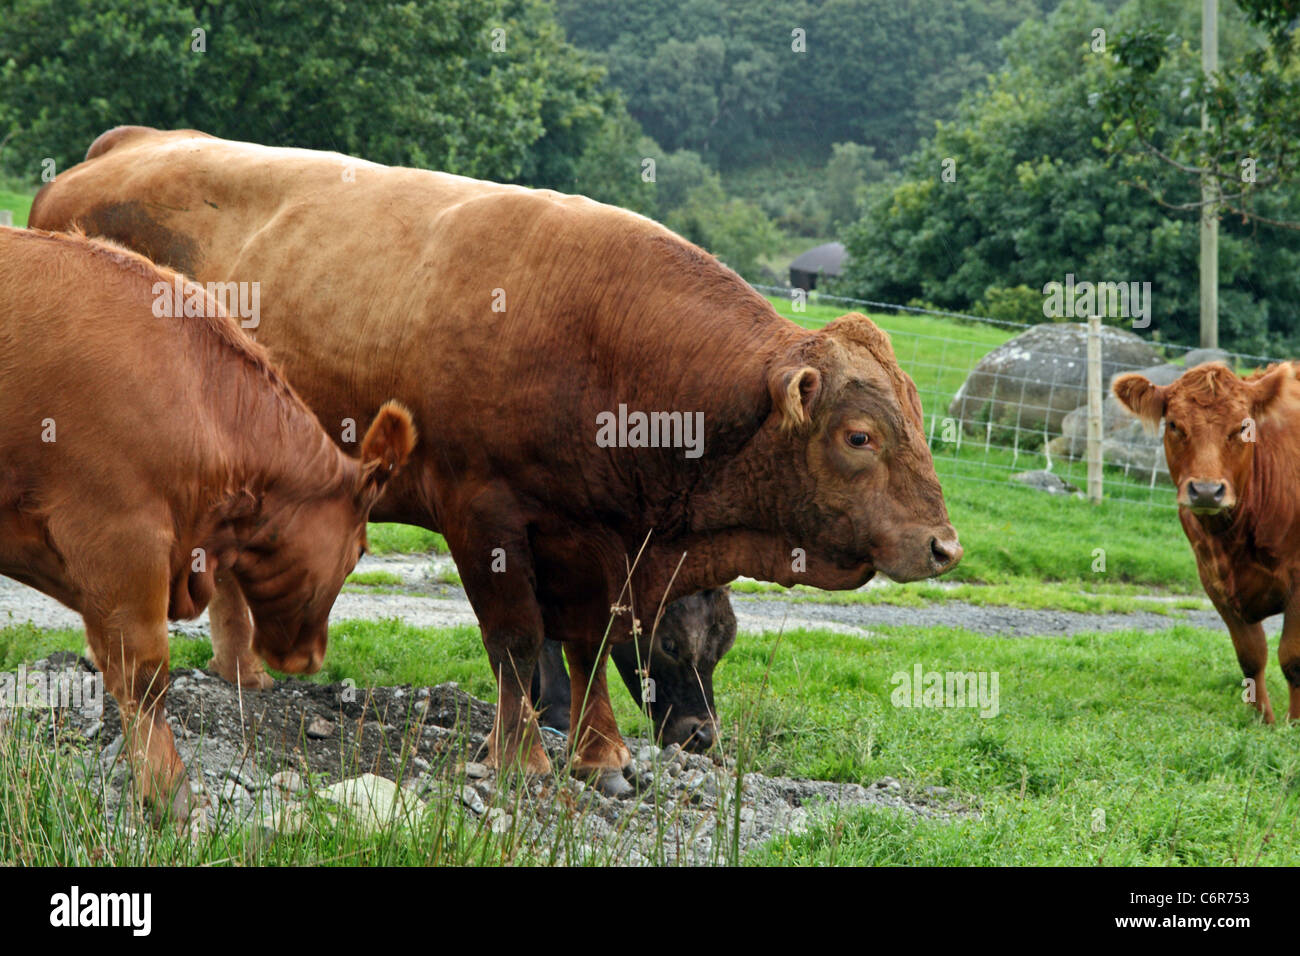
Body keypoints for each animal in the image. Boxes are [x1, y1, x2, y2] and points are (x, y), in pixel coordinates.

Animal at [30, 127, 962, 795]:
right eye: (860, 437)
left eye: (722, 643)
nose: (944, 546)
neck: (612, 342)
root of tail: (124, 144)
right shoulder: (484, 513)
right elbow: (517, 636)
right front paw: (523, 756)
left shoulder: (599, 539)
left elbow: (582, 643)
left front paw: (600, 756)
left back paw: (244, 674)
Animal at [1113, 361, 1299, 723]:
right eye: (1174, 425)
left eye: (1243, 427)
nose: (1206, 491)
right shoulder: (1214, 579)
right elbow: (1251, 655)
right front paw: (1262, 722)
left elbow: (1293, 658)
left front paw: (1294, 723)